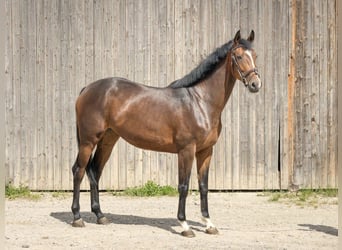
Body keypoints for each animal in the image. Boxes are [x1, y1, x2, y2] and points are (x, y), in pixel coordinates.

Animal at [71, 30, 260, 237]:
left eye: (255, 56)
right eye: (238, 56)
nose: (255, 84)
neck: (200, 102)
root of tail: (87, 89)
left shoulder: (206, 151)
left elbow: (203, 186)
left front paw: (209, 224)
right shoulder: (186, 150)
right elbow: (184, 186)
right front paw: (185, 225)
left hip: (108, 139)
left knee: (94, 171)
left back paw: (100, 215)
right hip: (88, 141)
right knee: (79, 171)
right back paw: (77, 217)